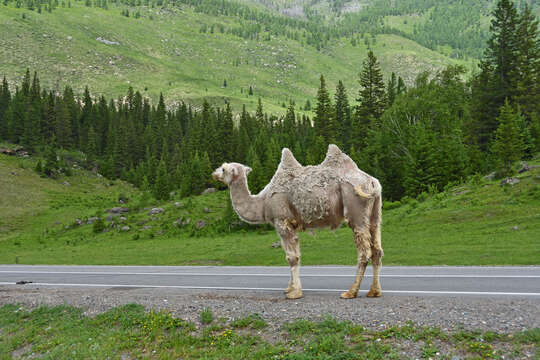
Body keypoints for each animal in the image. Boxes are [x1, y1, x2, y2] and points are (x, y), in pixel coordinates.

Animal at [212, 143, 384, 298]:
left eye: (224, 168)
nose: (214, 174)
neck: (262, 202)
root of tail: (372, 182)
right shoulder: (291, 224)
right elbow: (293, 255)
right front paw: (289, 289)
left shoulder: (281, 220)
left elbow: (292, 258)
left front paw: (294, 293)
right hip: (375, 214)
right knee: (377, 250)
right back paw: (374, 292)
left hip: (356, 209)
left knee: (364, 251)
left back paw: (350, 292)